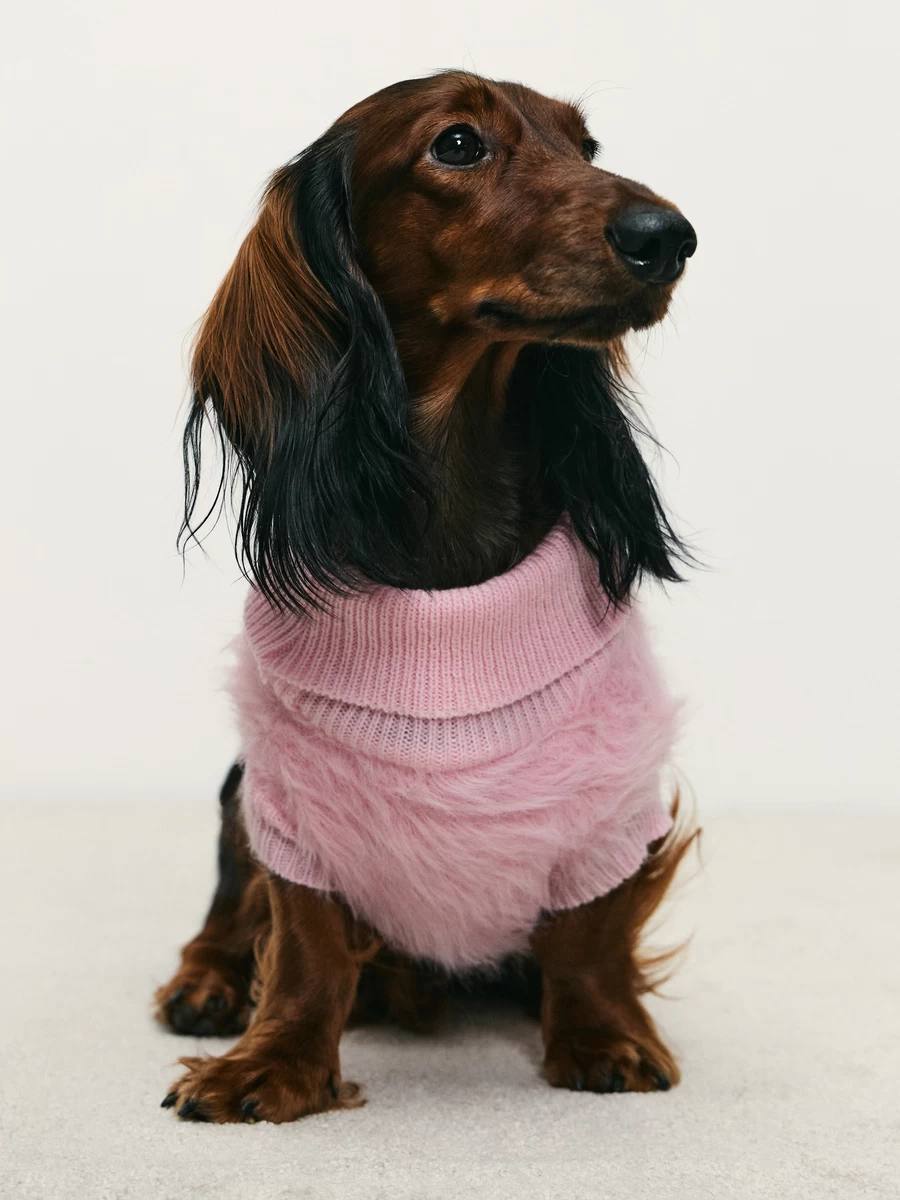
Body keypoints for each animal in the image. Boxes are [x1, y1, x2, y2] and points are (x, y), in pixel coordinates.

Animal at [157, 69, 698, 1124]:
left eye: (586, 144)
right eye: (456, 144)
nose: (670, 237)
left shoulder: (611, 803)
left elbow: (591, 933)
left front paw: (602, 1035)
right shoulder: (293, 803)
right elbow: (305, 943)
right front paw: (274, 1062)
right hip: (239, 791)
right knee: (228, 912)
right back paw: (204, 985)